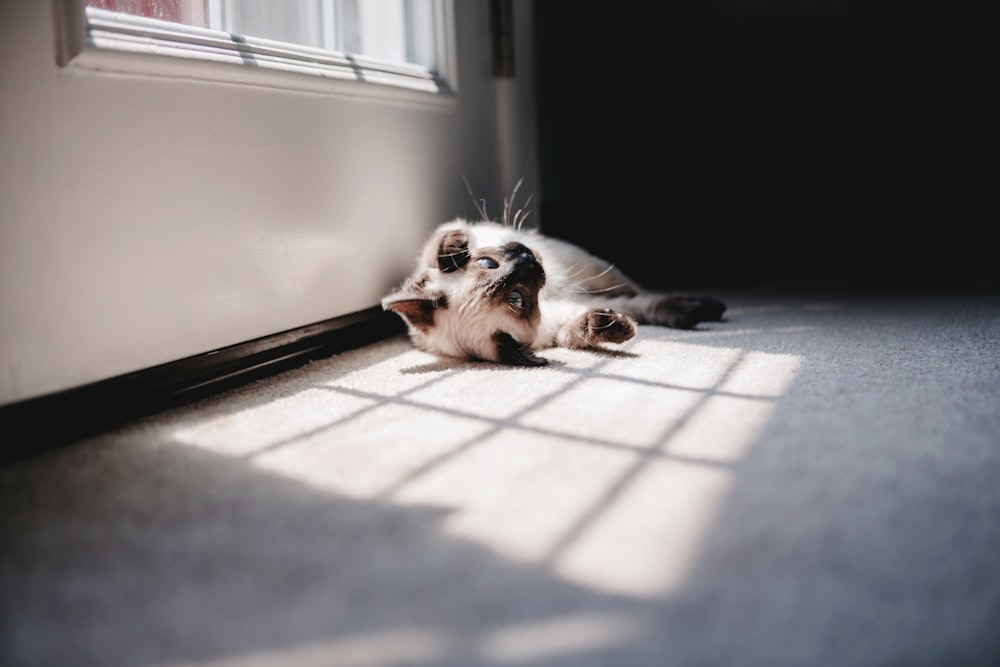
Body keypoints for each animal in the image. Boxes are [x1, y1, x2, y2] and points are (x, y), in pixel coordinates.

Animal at [378, 188, 724, 366]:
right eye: (517, 299)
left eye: (487, 263)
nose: (527, 259)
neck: (551, 300)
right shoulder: (559, 325)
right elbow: (576, 334)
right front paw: (610, 327)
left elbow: (436, 247)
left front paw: (453, 247)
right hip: (599, 287)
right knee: (637, 304)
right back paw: (696, 311)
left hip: (591, 265)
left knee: (640, 292)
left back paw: (710, 308)